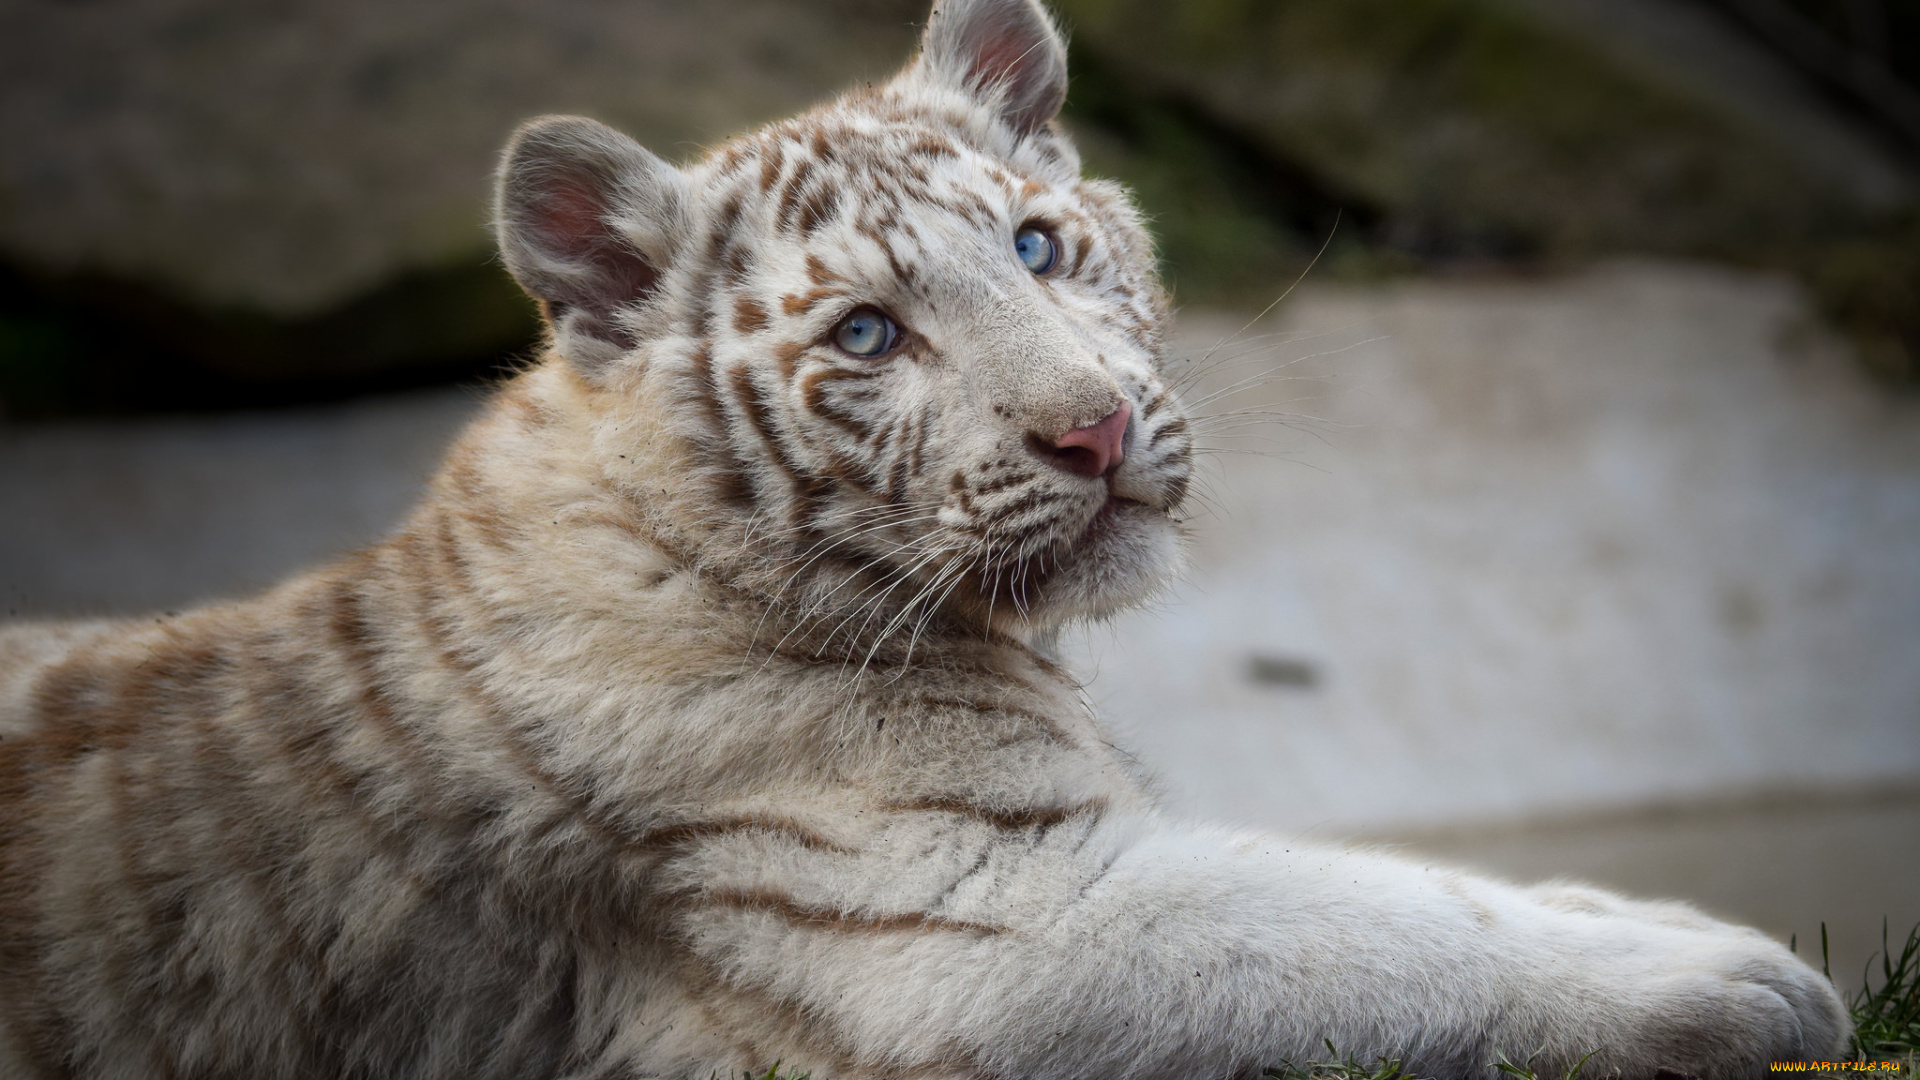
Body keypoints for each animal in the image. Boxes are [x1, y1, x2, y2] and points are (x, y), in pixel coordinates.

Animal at [0, 0, 1847, 1077]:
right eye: (872, 337)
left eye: (1038, 245)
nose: (1094, 430)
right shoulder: (979, 924)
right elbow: (1363, 932)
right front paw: (1731, 985)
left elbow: (1406, 882)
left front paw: (1645, 915)